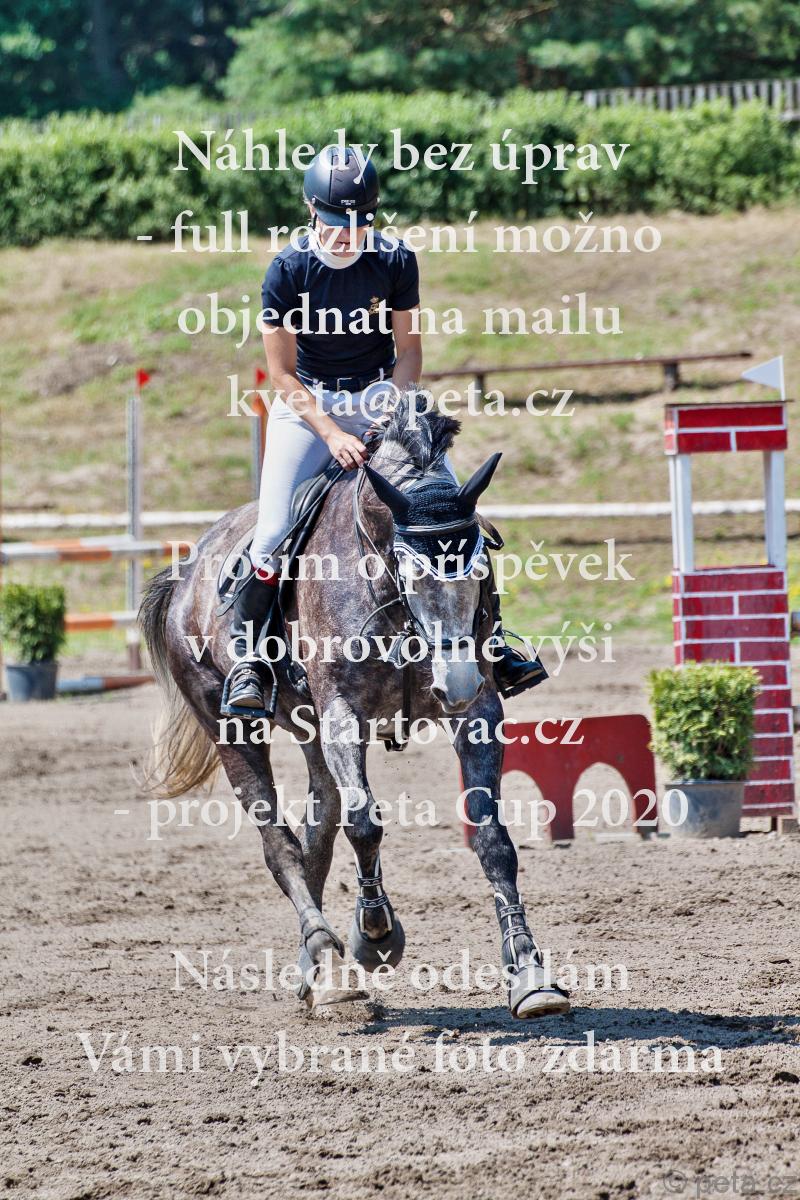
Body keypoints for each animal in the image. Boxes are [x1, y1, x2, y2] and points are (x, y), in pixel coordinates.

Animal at [139, 391, 569, 1020]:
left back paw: (321, 972)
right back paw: (328, 951)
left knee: (317, 832)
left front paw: (530, 974)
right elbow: (365, 825)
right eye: (411, 573)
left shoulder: (477, 714)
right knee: (280, 844)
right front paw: (376, 937)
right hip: (231, 726)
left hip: (311, 729)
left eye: (481, 571)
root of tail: (186, 571)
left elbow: (493, 840)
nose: (457, 683)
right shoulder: (345, 714)